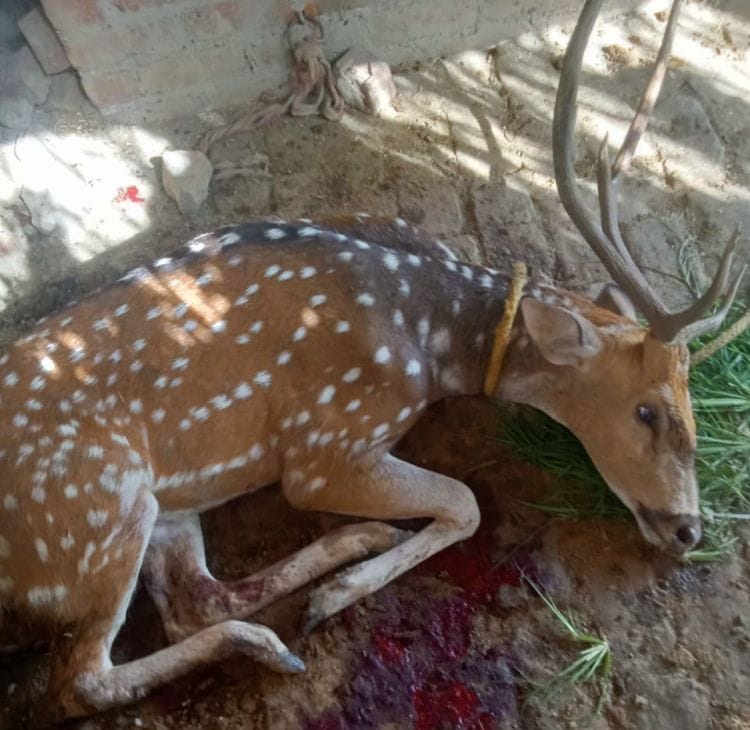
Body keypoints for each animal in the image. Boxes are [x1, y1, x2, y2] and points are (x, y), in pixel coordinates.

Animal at [0, 0, 744, 720]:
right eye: (646, 411)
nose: (688, 528)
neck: (434, 335)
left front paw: (345, 574)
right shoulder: (329, 441)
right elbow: (466, 502)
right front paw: (339, 595)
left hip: (164, 506)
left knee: (193, 599)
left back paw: (355, 544)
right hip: (95, 508)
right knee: (82, 681)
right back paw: (281, 635)